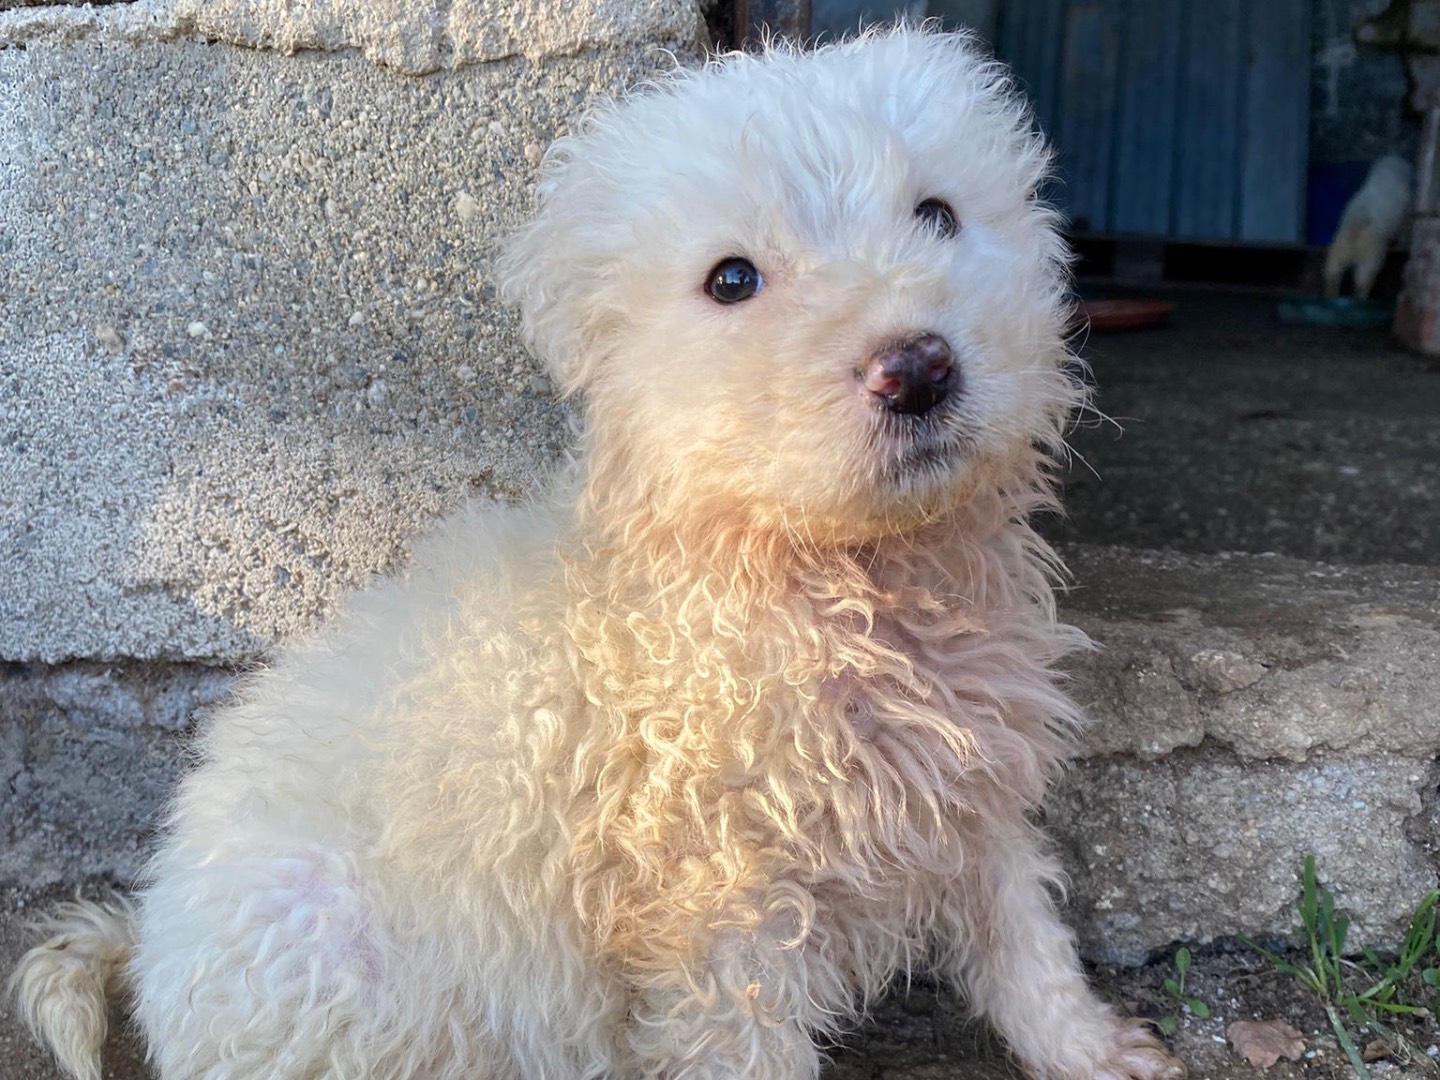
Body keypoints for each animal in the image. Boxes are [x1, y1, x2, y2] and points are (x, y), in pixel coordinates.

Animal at [11, 25, 1180, 1080]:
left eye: (937, 213)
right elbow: (754, 1045)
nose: (918, 370)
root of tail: (149, 940)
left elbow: (1024, 938)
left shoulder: (970, 788)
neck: (845, 583)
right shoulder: (723, 911)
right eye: (731, 280)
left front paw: (1094, 1051)